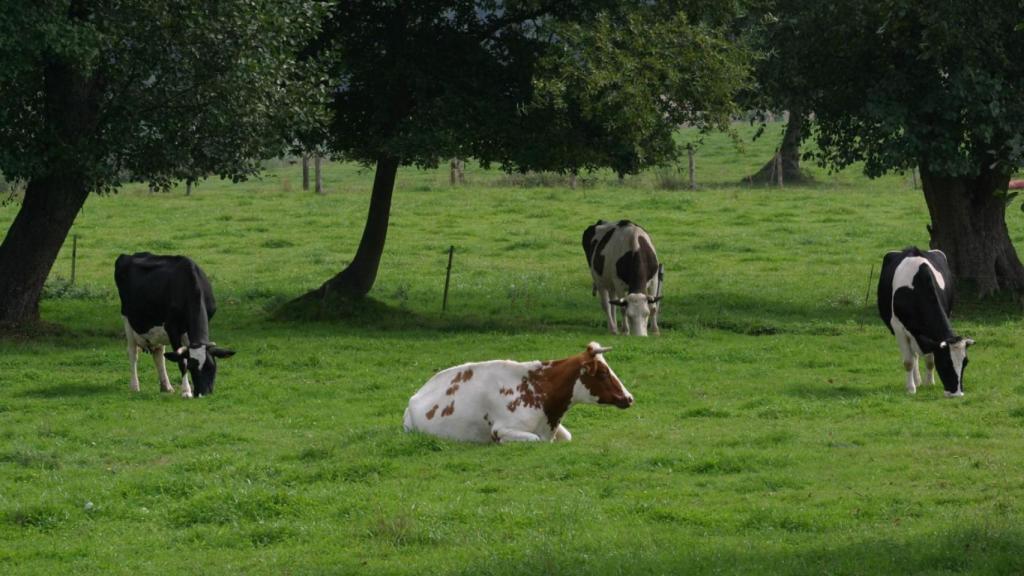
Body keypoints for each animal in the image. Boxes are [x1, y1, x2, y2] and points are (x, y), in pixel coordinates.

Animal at [114, 252, 235, 398]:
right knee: (133, 353)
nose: (203, 393)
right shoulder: (172, 328)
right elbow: (181, 360)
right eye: (191, 368)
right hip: (127, 319)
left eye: (212, 367)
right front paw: (186, 391)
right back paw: (134, 386)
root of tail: (129, 255)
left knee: (159, 354)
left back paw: (166, 386)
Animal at [403, 342, 633, 443]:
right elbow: (534, 439)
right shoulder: (501, 430)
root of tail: (416, 394)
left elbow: (567, 436)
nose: (629, 397)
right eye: (602, 373)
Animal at [877, 247, 974, 397]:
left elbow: (929, 360)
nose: (957, 393)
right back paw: (915, 381)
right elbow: (908, 362)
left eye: (965, 363)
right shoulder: (898, 329)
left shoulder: (930, 335)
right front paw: (911, 389)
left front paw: (929, 383)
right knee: (913, 356)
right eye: (945, 363)